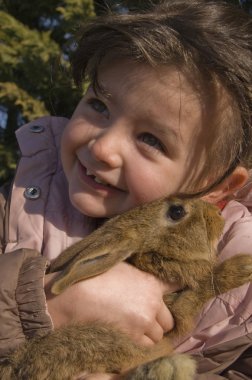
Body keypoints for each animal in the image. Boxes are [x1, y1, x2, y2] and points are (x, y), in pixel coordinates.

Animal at [0, 197, 252, 378]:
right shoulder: (176, 311)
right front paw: (244, 266)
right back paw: (168, 369)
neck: (150, 254)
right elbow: (204, 287)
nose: (217, 212)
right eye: (177, 211)